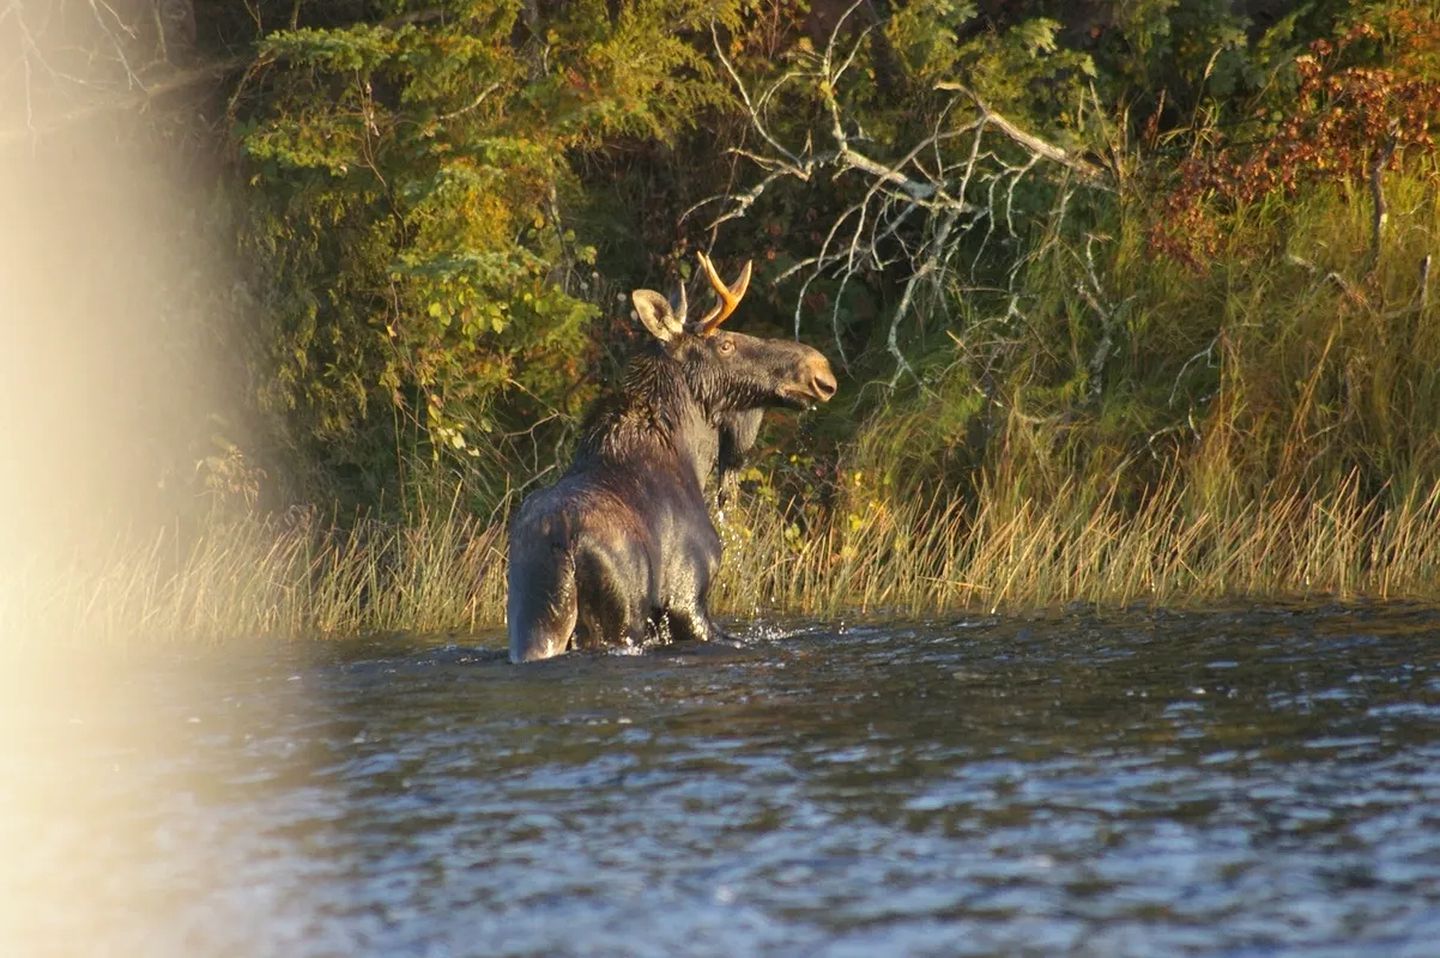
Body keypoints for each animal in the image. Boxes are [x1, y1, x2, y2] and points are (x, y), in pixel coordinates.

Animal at [509, 250, 840, 662]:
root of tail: (559, 540)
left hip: (530, 616)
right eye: (725, 344)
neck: (693, 458)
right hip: (620, 616)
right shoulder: (686, 594)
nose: (819, 369)